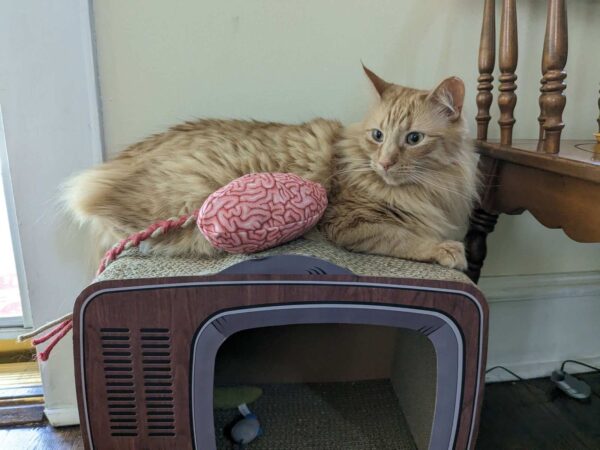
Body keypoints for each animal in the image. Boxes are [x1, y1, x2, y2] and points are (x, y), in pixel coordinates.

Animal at [64, 67, 478, 268]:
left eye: (413, 139)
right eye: (378, 135)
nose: (385, 162)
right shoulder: (350, 222)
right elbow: (404, 238)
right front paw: (448, 250)